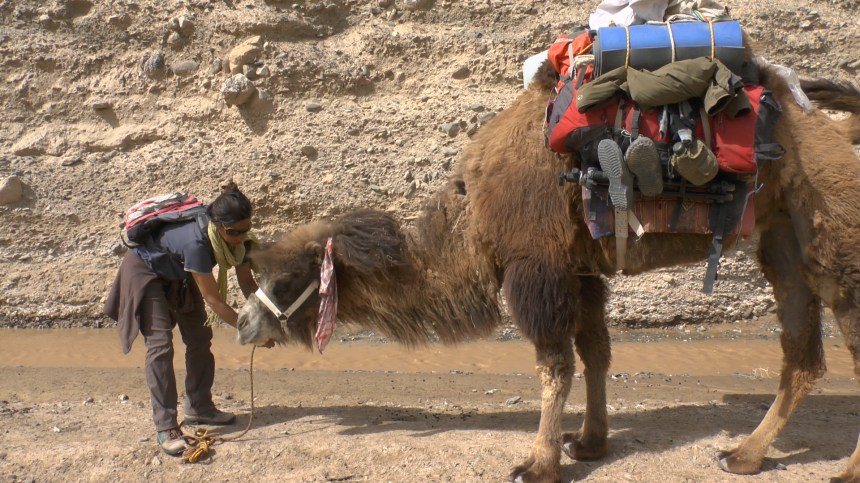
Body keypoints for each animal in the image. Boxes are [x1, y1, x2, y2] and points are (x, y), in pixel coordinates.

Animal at [236, 63, 860, 482]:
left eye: (286, 280)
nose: (243, 323)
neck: (473, 218)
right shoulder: (579, 270)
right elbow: (595, 353)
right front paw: (588, 443)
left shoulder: (536, 267)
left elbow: (553, 365)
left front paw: (537, 462)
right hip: (783, 237)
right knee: (802, 352)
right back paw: (744, 455)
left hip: (838, 235)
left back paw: (843, 469)